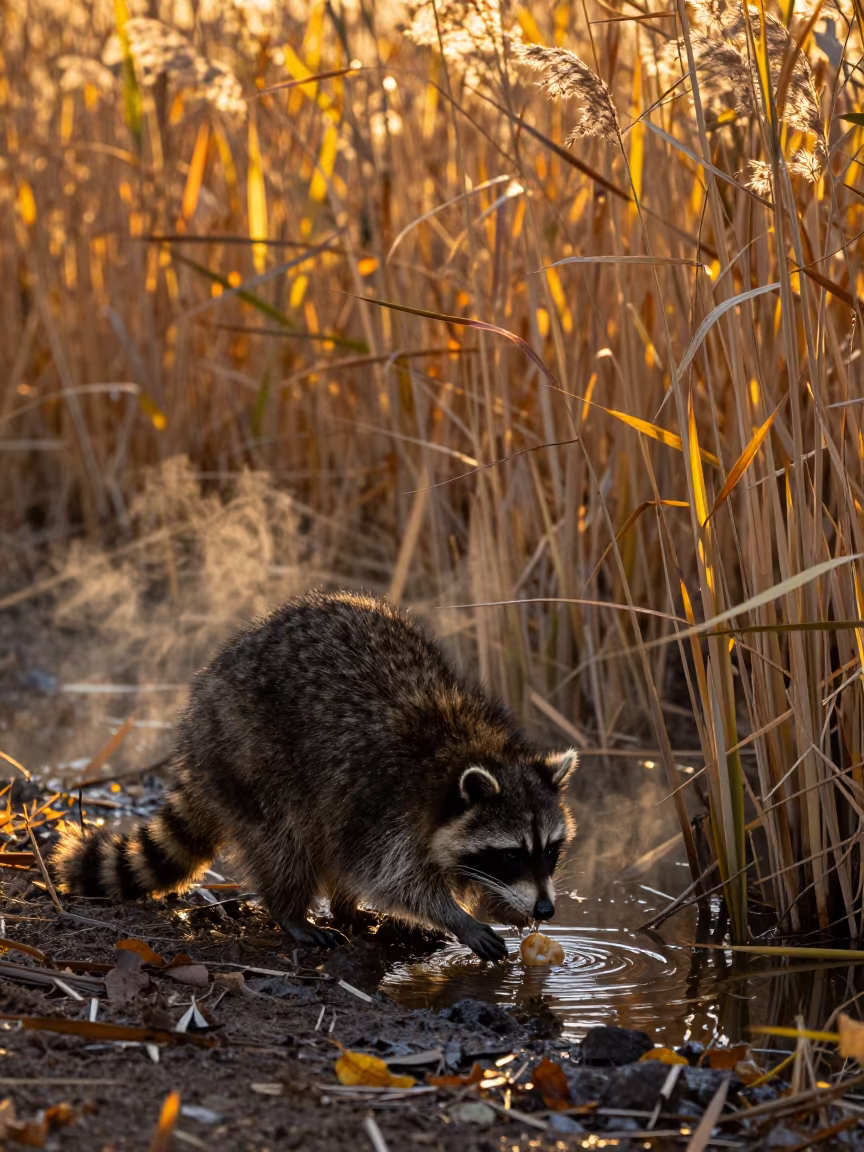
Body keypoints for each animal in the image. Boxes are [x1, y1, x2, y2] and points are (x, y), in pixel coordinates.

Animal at [52, 591, 577, 960]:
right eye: (511, 854)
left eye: (550, 850)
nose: (545, 910)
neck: (473, 748)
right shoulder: (387, 795)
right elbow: (389, 875)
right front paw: (453, 915)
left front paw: (506, 904)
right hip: (250, 754)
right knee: (284, 841)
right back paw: (292, 910)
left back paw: (347, 909)